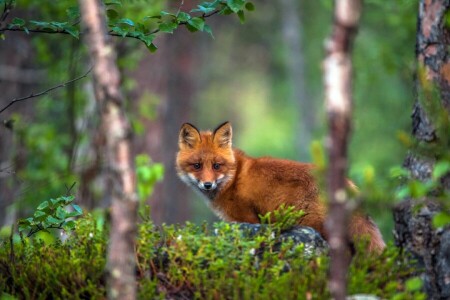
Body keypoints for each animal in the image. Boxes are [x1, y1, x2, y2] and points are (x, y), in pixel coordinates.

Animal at [176, 120, 386, 252]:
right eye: (197, 166)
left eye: (216, 165)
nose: (208, 184)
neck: (232, 179)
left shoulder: (248, 220)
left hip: (313, 224)